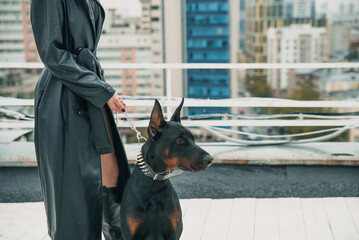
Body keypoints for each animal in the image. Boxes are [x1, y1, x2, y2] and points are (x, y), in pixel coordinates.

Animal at [120, 99, 214, 240]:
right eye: (179, 140)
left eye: (193, 138)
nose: (210, 159)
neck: (154, 185)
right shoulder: (131, 234)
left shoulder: (173, 232)